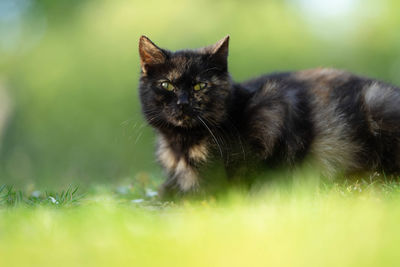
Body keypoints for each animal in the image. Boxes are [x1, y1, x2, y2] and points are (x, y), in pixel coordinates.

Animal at [138, 34, 400, 196]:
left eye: (199, 86)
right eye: (166, 85)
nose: (183, 103)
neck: (181, 144)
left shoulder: (274, 106)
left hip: (377, 100)